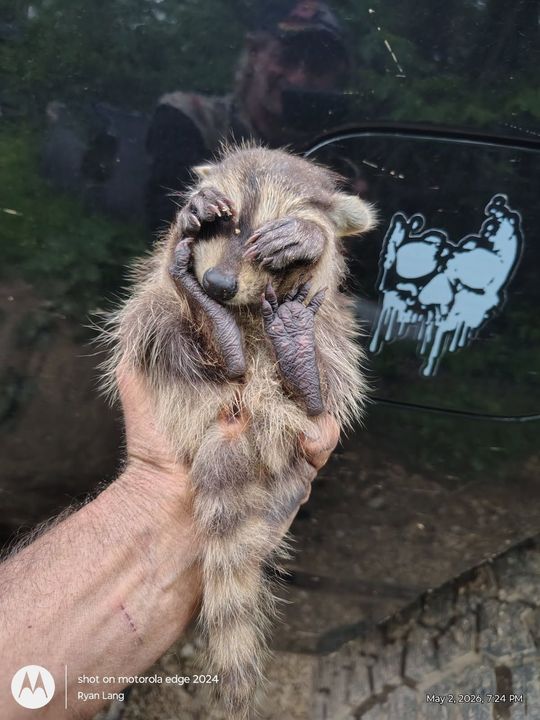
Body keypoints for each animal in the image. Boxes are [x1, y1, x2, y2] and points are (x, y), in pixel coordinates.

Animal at [98, 144, 374, 718]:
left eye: (263, 239)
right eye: (225, 227)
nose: (218, 287)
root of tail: (234, 418)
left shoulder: (325, 284)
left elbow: (328, 261)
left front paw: (311, 237)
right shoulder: (163, 260)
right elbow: (164, 257)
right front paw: (195, 209)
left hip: (332, 338)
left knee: (330, 362)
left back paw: (300, 367)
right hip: (156, 327)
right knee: (157, 317)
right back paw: (218, 334)